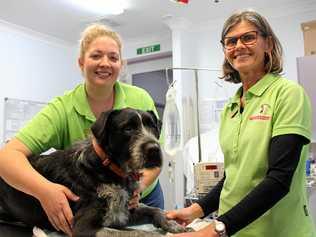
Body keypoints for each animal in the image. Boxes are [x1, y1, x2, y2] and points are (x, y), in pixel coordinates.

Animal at [0, 108, 190, 237]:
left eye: (153, 127)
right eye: (127, 128)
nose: (154, 149)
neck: (109, 169)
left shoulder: (122, 213)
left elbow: (155, 209)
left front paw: (172, 224)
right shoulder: (83, 227)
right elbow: (137, 233)